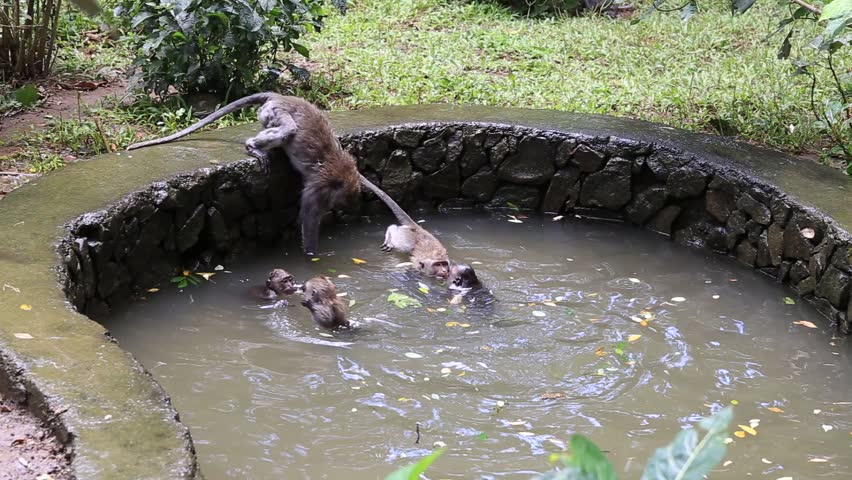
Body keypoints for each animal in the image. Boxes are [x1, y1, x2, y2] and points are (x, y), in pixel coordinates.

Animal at [128, 93, 362, 255]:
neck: (342, 174)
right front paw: (312, 256)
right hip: (273, 113)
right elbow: (309, 217)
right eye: (337, 202)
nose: (337, 209)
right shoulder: (318, 188)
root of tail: (278, 96)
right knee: (288, 130)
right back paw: (252, 146)